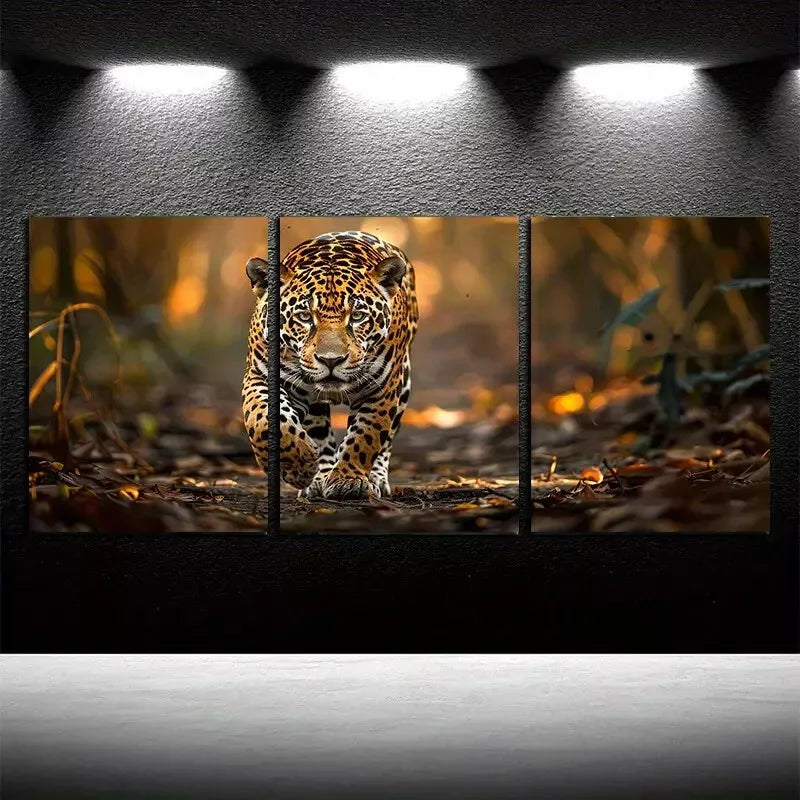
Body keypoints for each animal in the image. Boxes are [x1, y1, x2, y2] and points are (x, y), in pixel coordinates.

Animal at [242, 231, 418, 500]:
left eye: (357, 316)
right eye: (304, 317)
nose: (331, 360)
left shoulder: (382, 389)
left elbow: (365, 435)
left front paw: (348, 480)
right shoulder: (259, 376)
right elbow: (263, 418)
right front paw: (298, 465)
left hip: (403, 385)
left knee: (386, 439)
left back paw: (375, 478)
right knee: (319, 434)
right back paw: (317, 478)